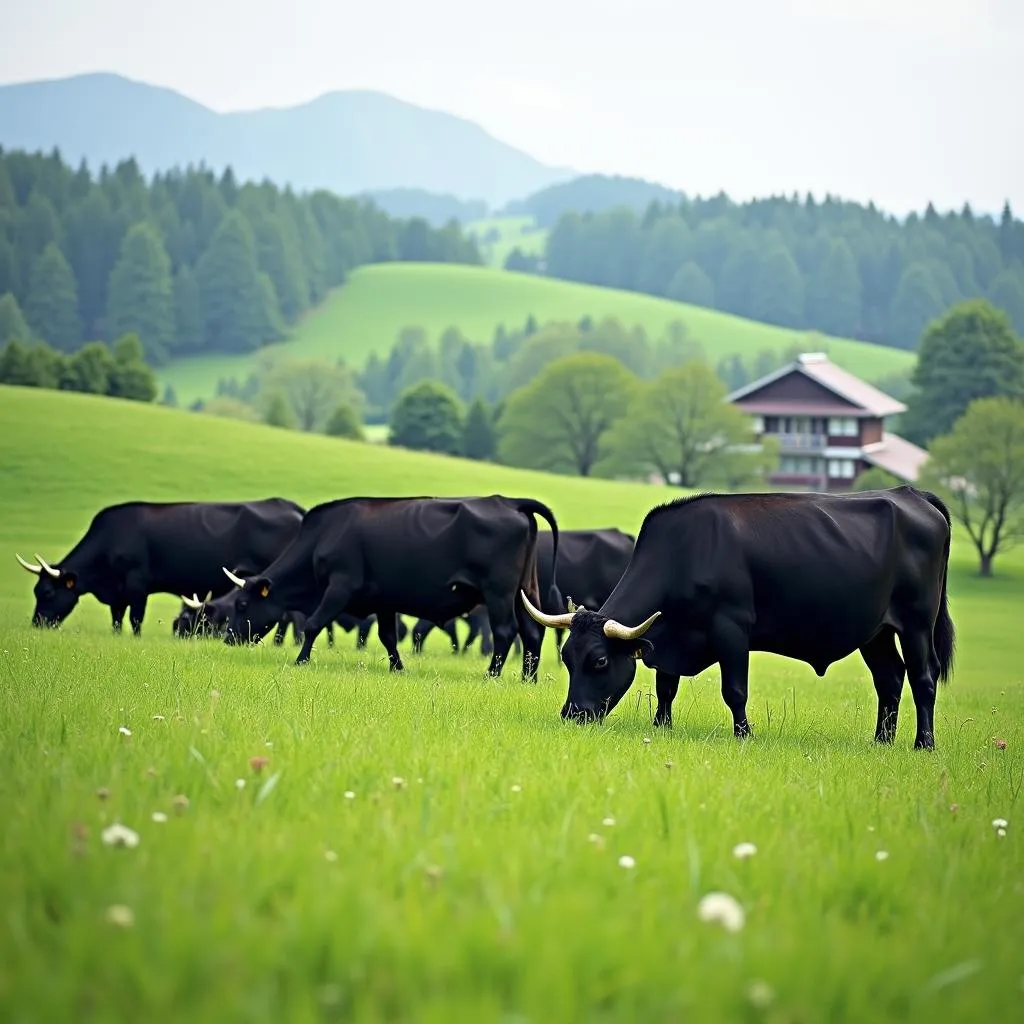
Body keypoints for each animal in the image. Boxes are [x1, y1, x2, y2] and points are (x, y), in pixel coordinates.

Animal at [17, 495, 303, 630]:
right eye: (35, 591)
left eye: (47, 592)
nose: (37, 624)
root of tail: (287, 505)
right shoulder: (119, 593)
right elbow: (117, 618)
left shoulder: (137, 584)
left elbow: (135, 619)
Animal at [222, 495, 561, 679]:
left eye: (242, 604)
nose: (228, 639)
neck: (322, 537)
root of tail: (507, 501)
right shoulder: (383, 601)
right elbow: (388, 637)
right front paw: (398, 668)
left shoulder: (340, 586)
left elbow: (313, 624)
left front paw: (300, 661)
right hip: (525, 591)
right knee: (532, 631)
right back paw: (527, 678)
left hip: (498, 592)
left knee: (505, 631)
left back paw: (491, 674)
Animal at [524, 483, 954, 749]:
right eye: (566, 658)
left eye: (599, 661)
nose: (573, 715)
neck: (687, 550)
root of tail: (911, 494)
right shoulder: (669, 639)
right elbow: (666, 687)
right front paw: (661, 726)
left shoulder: (731, 629)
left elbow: (734, 690)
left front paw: (744, 735)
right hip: (875, 631)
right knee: (889, 679)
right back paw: (881, 741)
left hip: (917, 622)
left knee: (923, 677)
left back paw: (923, 743)